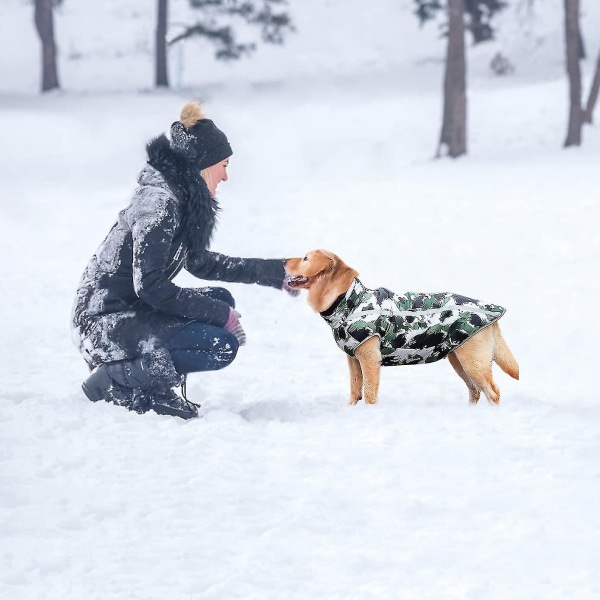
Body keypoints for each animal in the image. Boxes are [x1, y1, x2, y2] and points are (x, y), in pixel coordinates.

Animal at [284, 248, 516, 408]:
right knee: (475, 390)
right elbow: (354, 388)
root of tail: (491, 310)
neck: (348, 300)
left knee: (492, 392)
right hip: (458, 358)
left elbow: (369, 392)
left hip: (472, 360)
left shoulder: (369, 358)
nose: (283, 260)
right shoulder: (353, 358)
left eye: (305, 258)